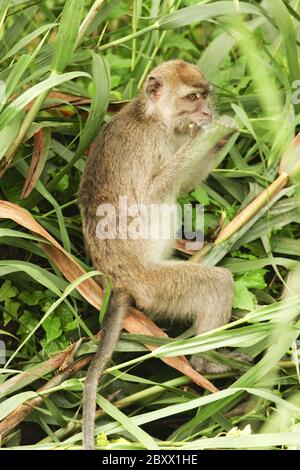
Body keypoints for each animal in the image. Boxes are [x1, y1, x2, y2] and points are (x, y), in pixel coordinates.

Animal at [78, 60, 236, 450]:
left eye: (205, 96)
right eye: (192, 98)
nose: (207, 111)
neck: (154, 119)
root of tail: (118, 281)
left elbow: (185, 185)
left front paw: (220, 134)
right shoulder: (148, 147)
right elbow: (150, 196)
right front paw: (209, 133)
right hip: (154, 286)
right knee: (216, 284)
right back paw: (208, 365)